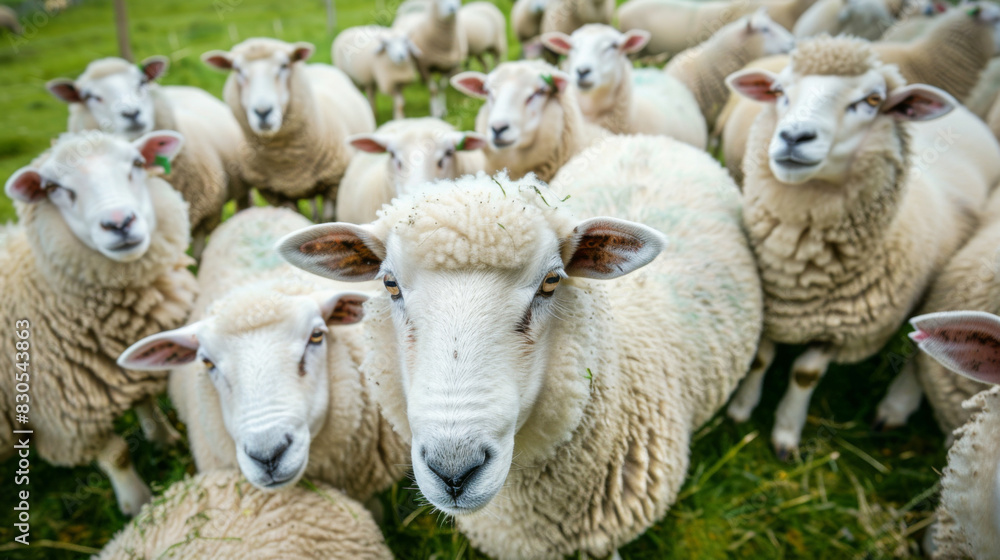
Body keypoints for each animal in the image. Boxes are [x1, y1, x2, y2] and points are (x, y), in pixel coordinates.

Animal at [1, 131, 197, 515]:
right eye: (54, 188)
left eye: (137, 163)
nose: (119, 222)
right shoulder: (69, 418)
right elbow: (117, 455)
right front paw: (136, 504)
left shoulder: (124, 372)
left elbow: (145, 403)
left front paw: (163, 438)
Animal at [202, 38, 375, 221]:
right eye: (237, 69)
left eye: (284, 65)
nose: (263, 112)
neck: (287, 161)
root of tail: (318, 65)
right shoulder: (275, 194)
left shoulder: (334, 184)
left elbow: (329, 218)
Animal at [723, 35, 1000, 458]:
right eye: (779, 91)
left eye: (872, 100)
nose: (794, 137)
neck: (797, 272)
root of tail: (966, 111)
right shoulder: (773, 308)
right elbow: (762, 359)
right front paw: (741, 409)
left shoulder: (843, 333)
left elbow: (804, 374)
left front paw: (786, 431)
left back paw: (895, 407)